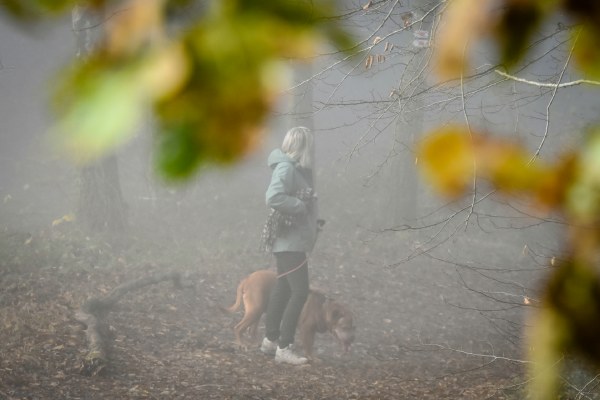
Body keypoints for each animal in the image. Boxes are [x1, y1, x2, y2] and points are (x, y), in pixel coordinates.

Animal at [225, 270, 356, 358]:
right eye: (344, 327)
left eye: (353, 328)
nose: (353, 338)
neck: (323, 308)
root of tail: (247, 279)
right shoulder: (307, 329)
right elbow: (309, 345)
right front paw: (312, 357)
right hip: (255, 311)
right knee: (238, 328)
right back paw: (242, 344)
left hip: (258, 312)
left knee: (251, 330)